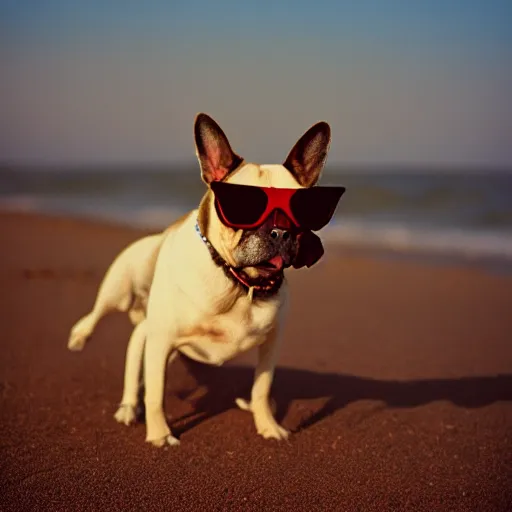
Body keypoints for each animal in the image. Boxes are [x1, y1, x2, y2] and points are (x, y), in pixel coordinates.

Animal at [67, 114, 344, 446]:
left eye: (299, 210)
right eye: (242, 207)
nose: (280, 231)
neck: (239, 283)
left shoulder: (270, 347)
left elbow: (261, 390)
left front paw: (267, 425)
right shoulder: (162, 340)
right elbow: (156, 395)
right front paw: (160, 435)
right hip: (119, 291)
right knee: (102, 319)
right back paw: (94, 358)